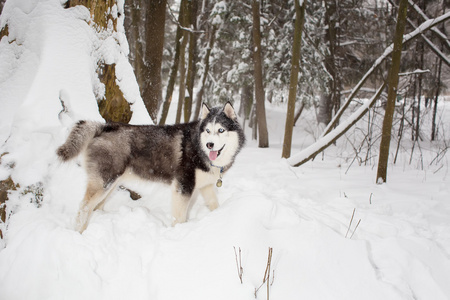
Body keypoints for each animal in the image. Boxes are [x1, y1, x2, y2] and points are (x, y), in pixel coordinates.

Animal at [58, 102, 246, 231]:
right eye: (207, 131)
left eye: (221, 130)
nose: (209, 144)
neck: (199, 149)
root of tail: (104, 126)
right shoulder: (183, 186)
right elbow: (179, 217)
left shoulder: (205, 186)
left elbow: (214, 204)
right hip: (104, 182)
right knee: (84, 207)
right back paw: (79, 232)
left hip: (111, 184)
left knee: (95, 206)